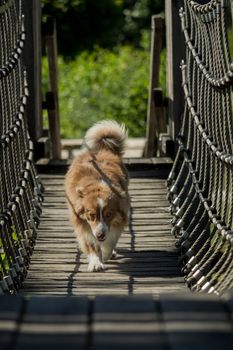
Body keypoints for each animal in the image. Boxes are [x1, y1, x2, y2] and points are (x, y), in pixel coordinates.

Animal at [65, 121, 129, 272]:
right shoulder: (84, 225)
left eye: (109, 214)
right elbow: (92, 244)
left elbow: (110, 242)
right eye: (91, 215)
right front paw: (96, 263)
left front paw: (106, 254)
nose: (100, 234)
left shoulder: (116, 222)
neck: (98, 184)